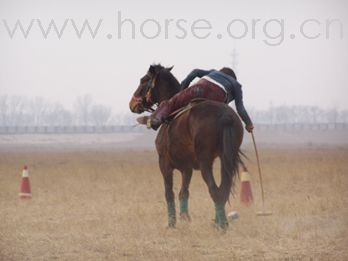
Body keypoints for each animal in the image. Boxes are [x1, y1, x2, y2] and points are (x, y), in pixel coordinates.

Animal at [128, 63, 245, 228]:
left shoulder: (164, 164)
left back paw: (221, 226)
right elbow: (183, 192)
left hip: (205, 162)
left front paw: (172, 223)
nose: (132, 104)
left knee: (214, 190)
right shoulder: (187, 168)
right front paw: (185, 218)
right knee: (223, 189)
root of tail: (225, 116)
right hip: (225, 159)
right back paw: (219, 222)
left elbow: (169, 193)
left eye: (143, 80)